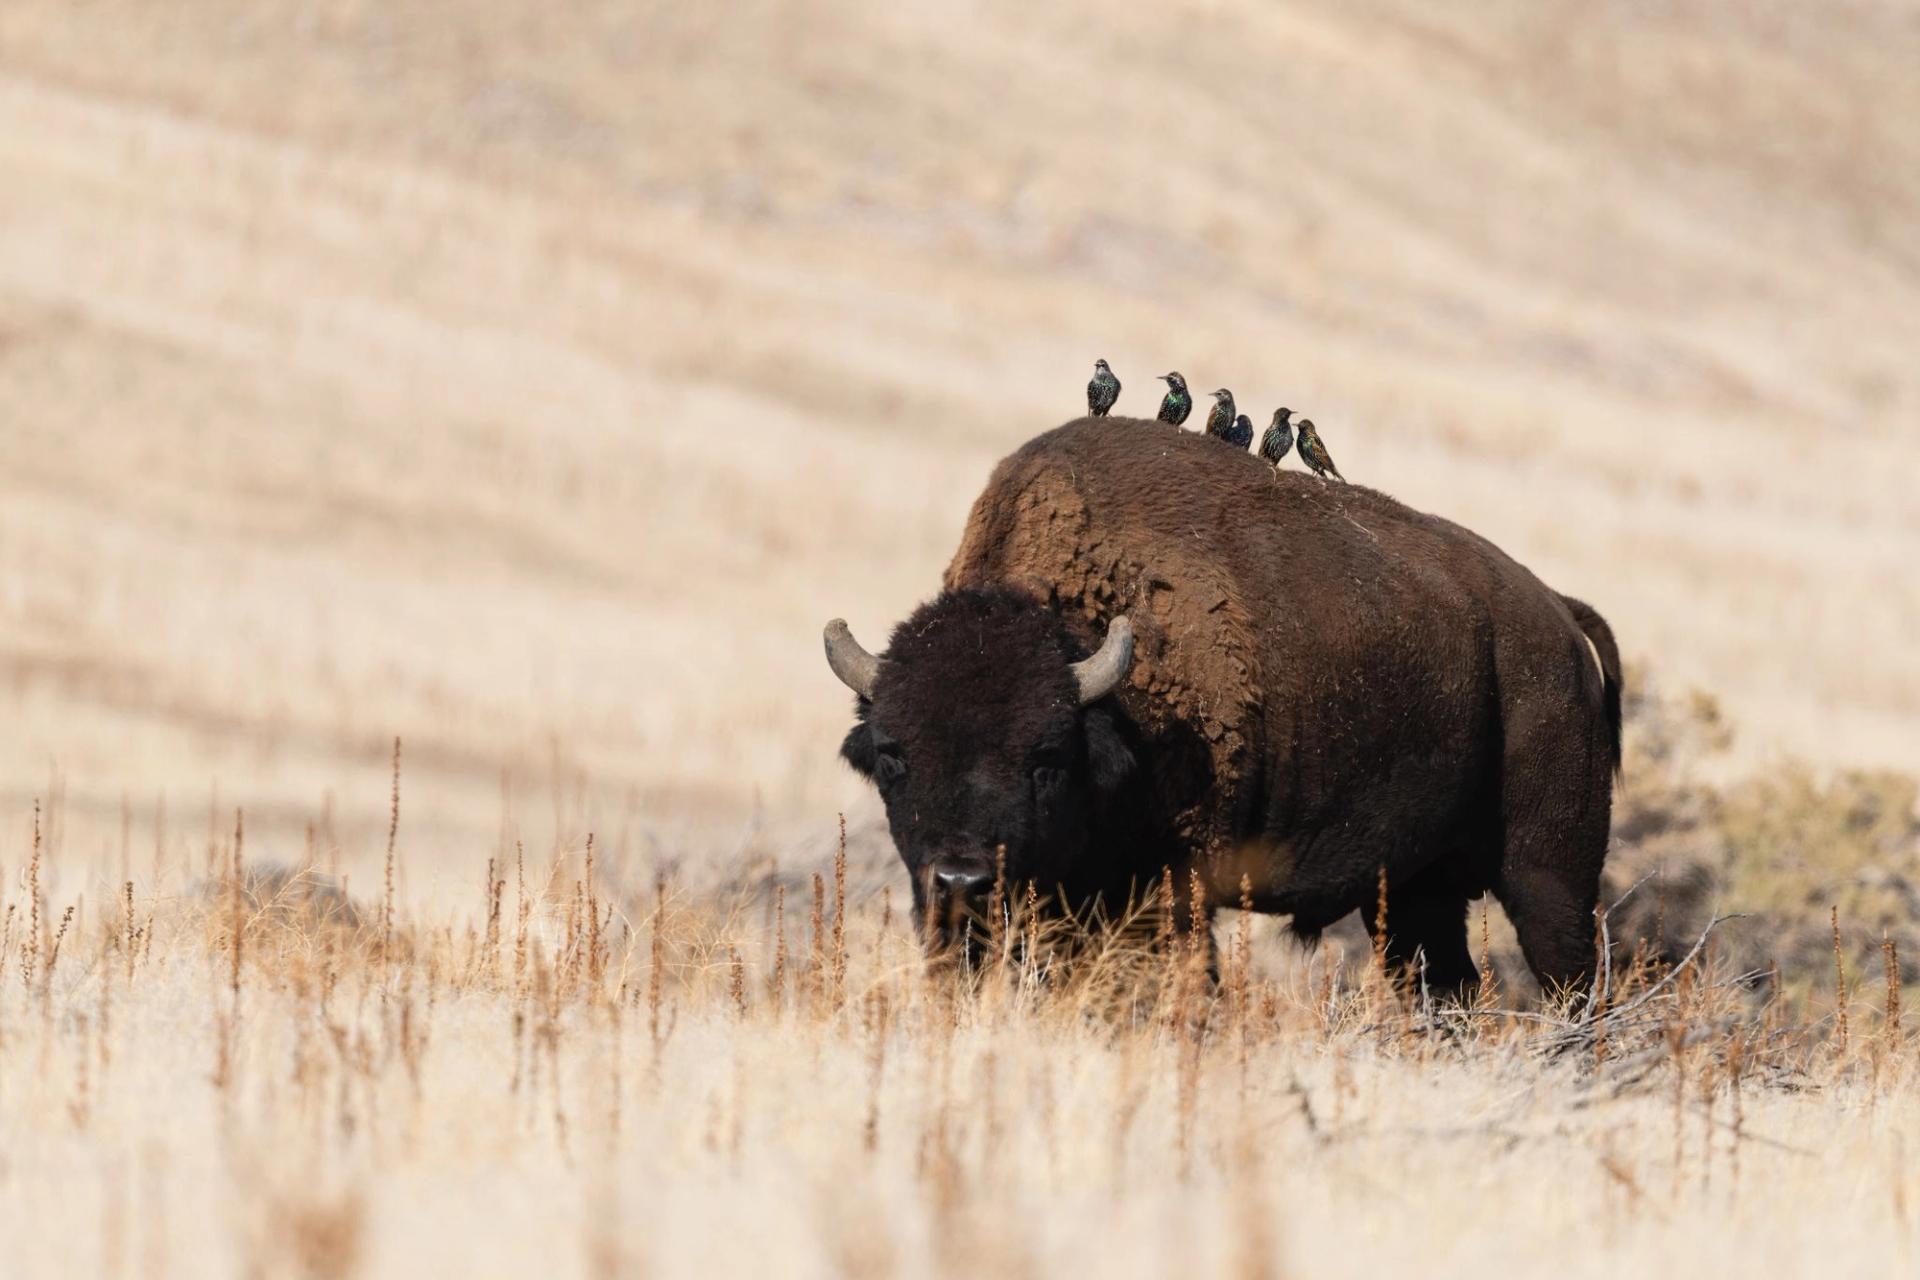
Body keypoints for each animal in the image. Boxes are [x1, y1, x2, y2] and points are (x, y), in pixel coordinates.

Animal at [825, 417, 1621, 995]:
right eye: (893, 755)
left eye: (1045, 758)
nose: (961, 882)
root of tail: (1558, 617)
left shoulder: (1171, 886)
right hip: (1416, 889)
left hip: (1550, 873)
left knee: (1571, 979)